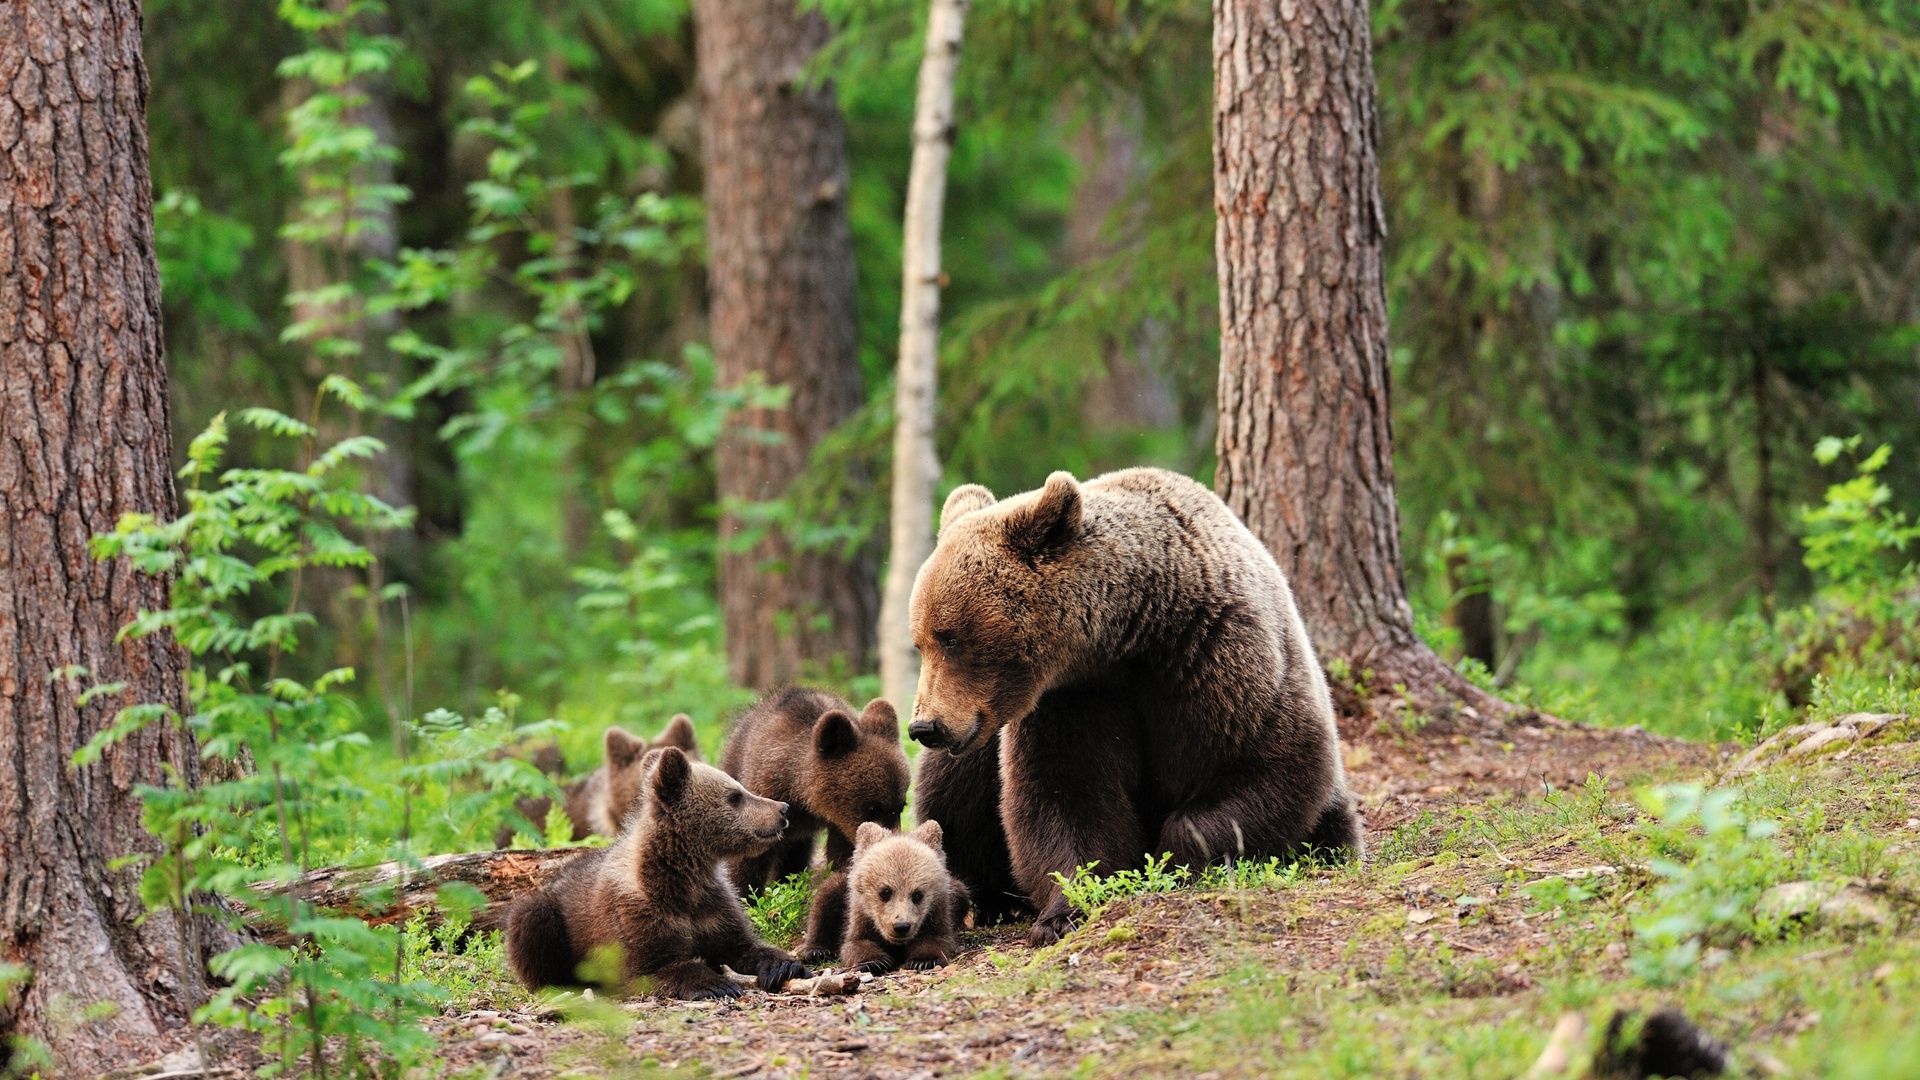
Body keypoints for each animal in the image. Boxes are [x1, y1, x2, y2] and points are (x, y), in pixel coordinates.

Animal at [906, 465, 1359, 941]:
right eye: (921, 641)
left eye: (950, 638)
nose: (924, 727)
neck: (1133, 636)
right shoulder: (1073, 700)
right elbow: (1066, 794)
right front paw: (1063, 911)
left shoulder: (1220, 656)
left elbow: (1262, 764)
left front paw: (1175, 861)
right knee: (952, 796)